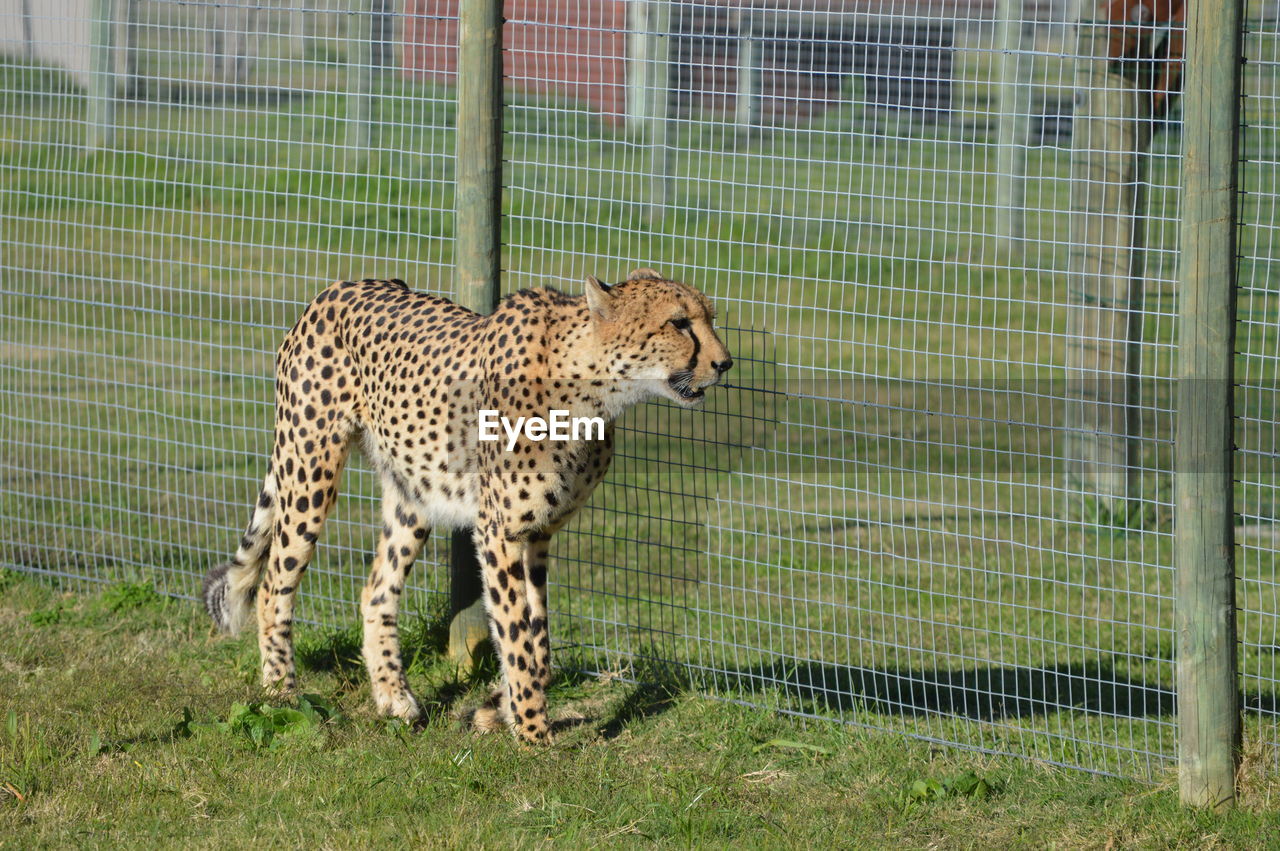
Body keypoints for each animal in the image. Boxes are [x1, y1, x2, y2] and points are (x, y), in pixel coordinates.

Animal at [204, 268, 737, 742]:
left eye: (709, 317)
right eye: (679, 323)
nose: (725, 364)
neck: (590, 389)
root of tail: (336, 288)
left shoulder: (538, 534)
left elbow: (539, 642)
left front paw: (497, 711)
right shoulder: (498, 532)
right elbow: (517, 636)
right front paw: (534, 737)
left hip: (413, 493)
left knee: (376, 591)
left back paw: (394, 698)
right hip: (308, 467)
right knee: (273, 583)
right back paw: (282, 694)